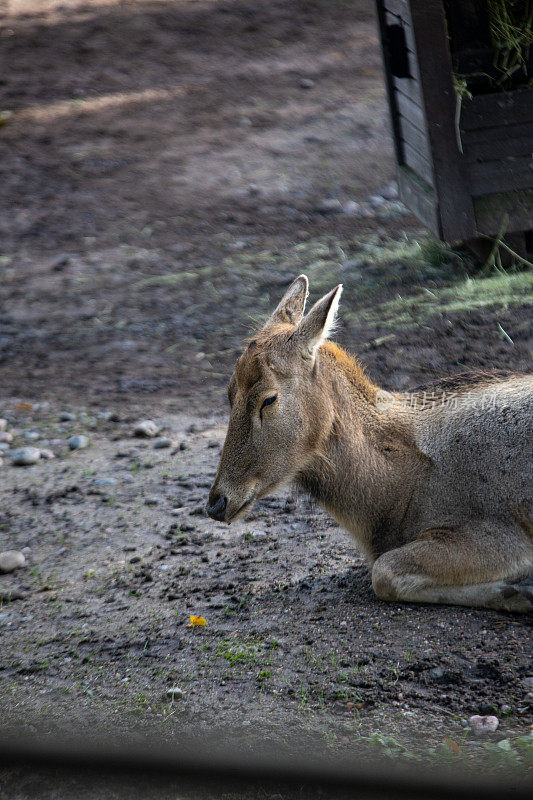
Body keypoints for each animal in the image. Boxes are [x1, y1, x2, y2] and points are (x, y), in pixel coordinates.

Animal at [206, 276, 528, 612]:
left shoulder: (499, 530)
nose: (217, 502)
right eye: (229, 392)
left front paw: (522, 591)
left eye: (268, 398)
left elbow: (384, 572)